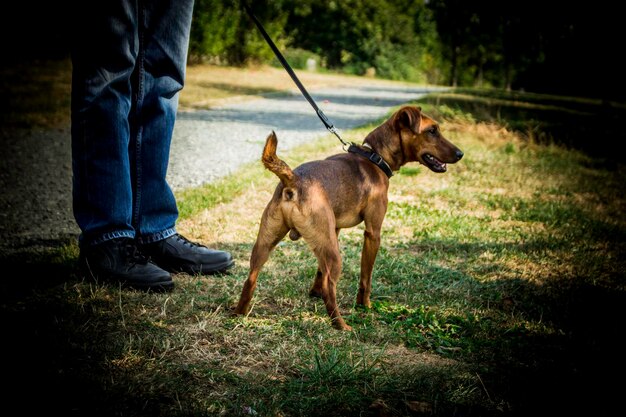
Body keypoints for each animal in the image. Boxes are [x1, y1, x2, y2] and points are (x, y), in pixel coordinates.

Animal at [232, 105, 460, 330]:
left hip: (267, 243)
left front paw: (314, 292)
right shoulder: (373, 233)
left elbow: (319, 270)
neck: (375, 158)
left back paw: (239, 312)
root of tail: (293, 181)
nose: (460, 153)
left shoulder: (334, 231)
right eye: (432, 130)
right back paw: (341, 325)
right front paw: (364, 305)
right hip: (333, 255)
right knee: (330, 286)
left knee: (251, 278)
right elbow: (366, 277)